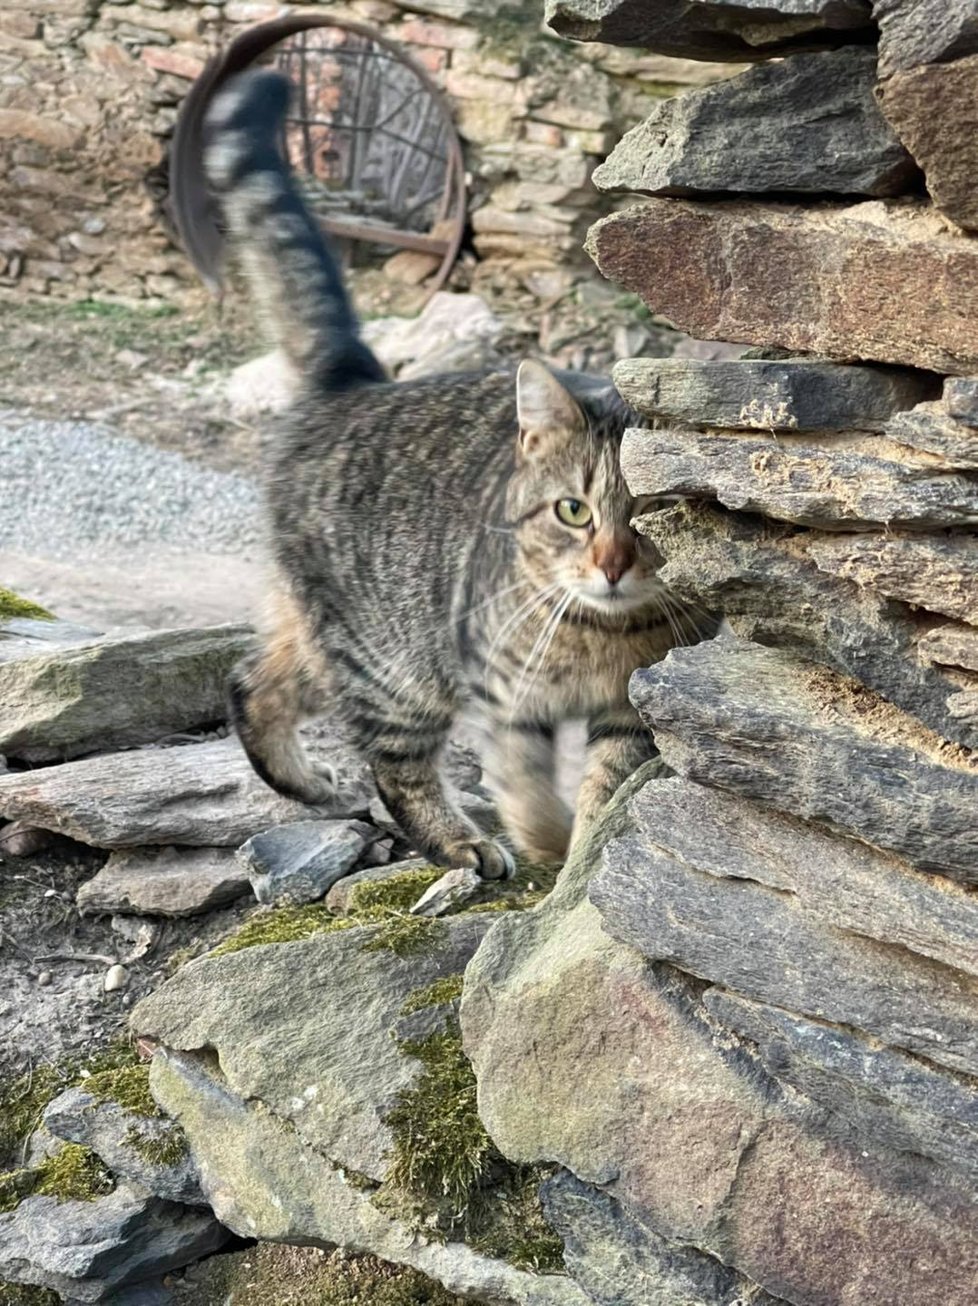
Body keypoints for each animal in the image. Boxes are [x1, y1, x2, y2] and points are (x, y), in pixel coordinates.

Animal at [203, 74, 699, 888]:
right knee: (391, 764)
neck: (600, 635)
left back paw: (307, 783)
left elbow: (604, 789)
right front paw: (544, 843)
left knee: (252, 680)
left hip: (342, 639)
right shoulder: (504, 692)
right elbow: (523, 778)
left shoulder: (632, 713)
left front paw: (581, 856)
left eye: (650, 514)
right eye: (573, 511)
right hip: (394, 660)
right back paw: (455, 840)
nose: (611, 566)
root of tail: (357, 381)